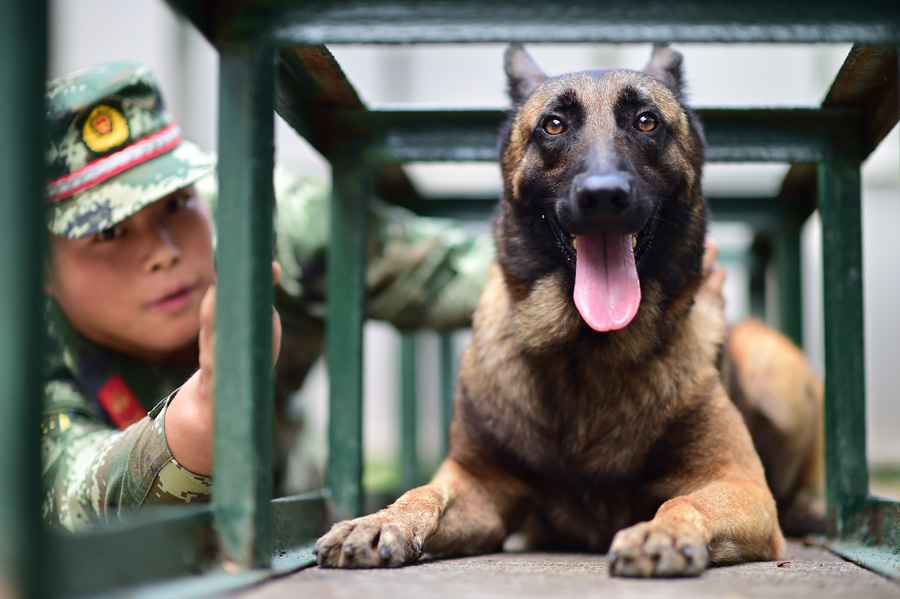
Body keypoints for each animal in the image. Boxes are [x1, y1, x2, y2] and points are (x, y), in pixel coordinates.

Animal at [314, 44, 824, 580]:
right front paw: (379, 521)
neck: (585, 353)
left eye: (646, 121)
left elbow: (683, 501)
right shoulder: (477, 484)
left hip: (774, 365)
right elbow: (424, 492)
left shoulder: (735, 481)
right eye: (554, 125)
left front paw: (659, 532)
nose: (603, 196)